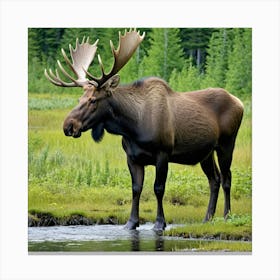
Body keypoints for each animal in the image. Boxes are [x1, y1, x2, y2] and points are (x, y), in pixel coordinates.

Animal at [44, 28, 244, 231]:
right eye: (79, 99)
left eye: (93, 100)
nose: (68, 125)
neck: (132, 127)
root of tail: (240, 102)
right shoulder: (132, 157)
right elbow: (136, 188)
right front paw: (131, 222)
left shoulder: (163, 153)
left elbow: (158, 188)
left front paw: (160, 223)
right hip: (206, 152)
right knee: (214, 180)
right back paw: (207, 218)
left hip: (227, 143)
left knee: (227, 178)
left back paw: (226, 216)